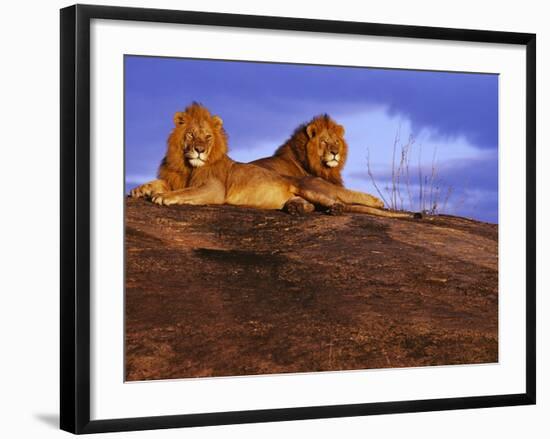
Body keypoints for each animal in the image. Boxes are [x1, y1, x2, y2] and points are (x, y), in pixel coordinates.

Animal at [129, 103, 414, 220]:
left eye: (207, 137)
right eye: (190, 134)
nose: (199, 150)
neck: (188, 165)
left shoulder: (214, 188)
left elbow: (185, 192)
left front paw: (164, 197)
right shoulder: (175, 177)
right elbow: (159, 183)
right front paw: (140, 190)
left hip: (311, 187)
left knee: (341, 201)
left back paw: (336, 209)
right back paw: (298, 208)